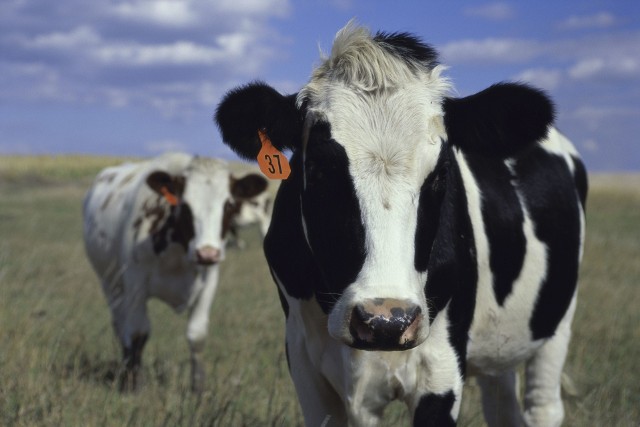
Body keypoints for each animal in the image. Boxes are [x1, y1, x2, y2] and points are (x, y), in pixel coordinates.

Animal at [83, 152, 268, 392]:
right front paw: (134, 385)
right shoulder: (135, 286)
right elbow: (138, 333)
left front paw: (198, 388)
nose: (207, 253)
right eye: (185, 205)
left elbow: (197, 335)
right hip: (110, 284)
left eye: (228, 205)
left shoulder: (208, 283)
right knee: (120, 325)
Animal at [216, 24, 592, 427]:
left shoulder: (441, 369)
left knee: (543, 406)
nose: (385, 320)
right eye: (316, 167)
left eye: (442, 173)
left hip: (557, 323)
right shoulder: (304, 362)